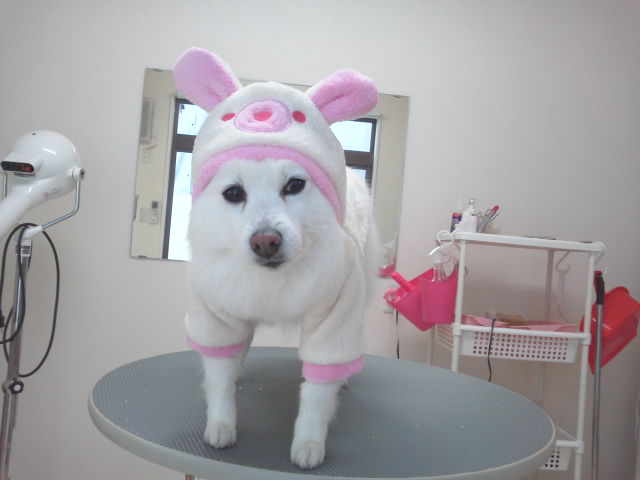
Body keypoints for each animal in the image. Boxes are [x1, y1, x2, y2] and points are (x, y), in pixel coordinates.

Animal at [174, 47, 379, 469]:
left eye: (295, 185)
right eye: (233, 193)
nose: (265, 241)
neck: (273, 283)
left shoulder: (336, 316)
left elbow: (316, 393)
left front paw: (309, 442)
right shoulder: (217, 311)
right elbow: (218, 377)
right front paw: (221, 424)